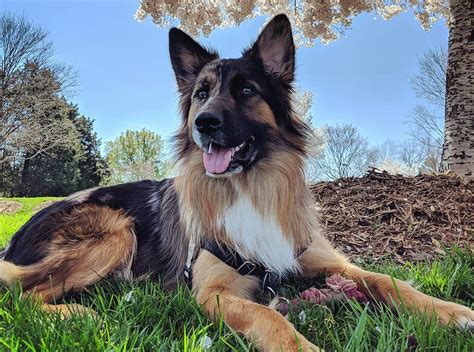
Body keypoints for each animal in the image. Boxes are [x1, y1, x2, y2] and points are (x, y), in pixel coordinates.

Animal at [1, 13, 472, 350]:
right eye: (201, 94)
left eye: (247, 91)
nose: (204, 124)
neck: (249, 187)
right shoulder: (214, 293)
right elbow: (269, 315)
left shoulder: (329, 262)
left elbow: (385, 280)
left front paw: (450, 311)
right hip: (116, 231)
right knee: (22, 298)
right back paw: (78, 314)